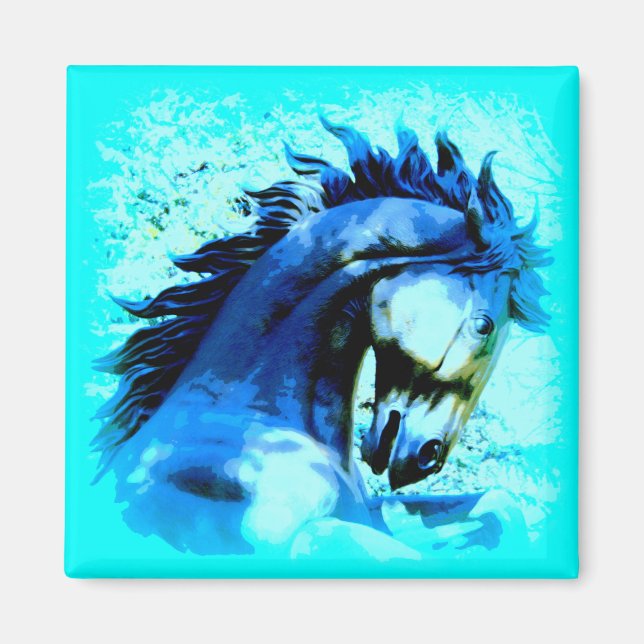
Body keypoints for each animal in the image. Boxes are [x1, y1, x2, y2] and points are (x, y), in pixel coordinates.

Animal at [93, 117, 551, 558]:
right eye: (484, 325)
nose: (428, 458)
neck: (251, 415)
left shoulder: (370, 515)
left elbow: (500, 508)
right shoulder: (308, 537)